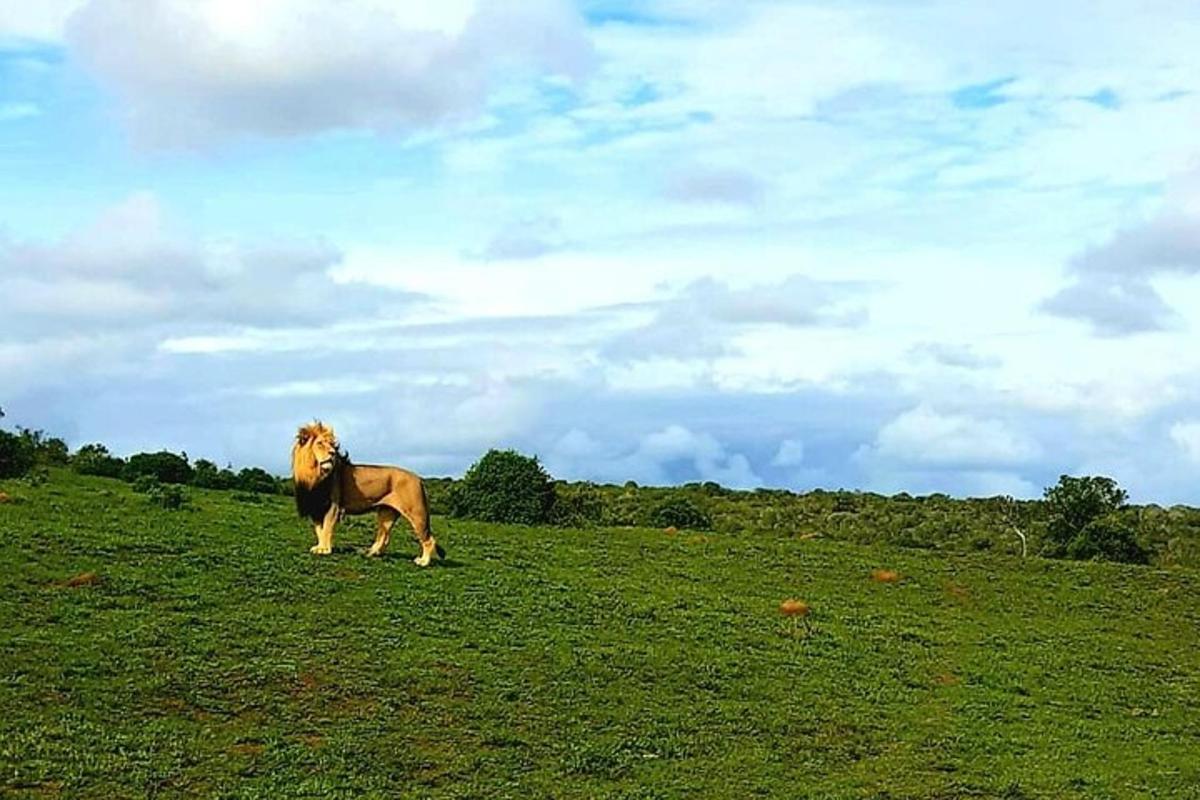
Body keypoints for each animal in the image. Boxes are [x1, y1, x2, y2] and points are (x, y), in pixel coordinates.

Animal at [291, 422, 446, 566]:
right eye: (320, 443)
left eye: (331, 445)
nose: (332, 453)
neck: (313, 474)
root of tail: (419, 479)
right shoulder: (315, 507)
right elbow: (319, 529)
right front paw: (319, 546)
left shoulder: (332, 506)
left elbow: (326, 528)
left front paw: (324, 550)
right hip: (386, 513)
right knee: (384, 536)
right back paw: (371, 552)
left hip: (416, 512)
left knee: (428, 539)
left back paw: (423, 561)